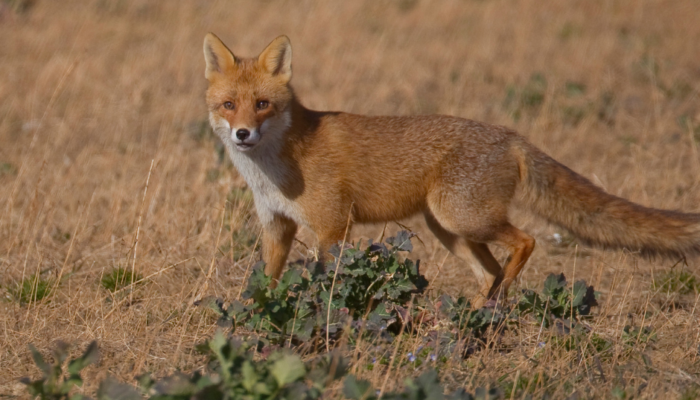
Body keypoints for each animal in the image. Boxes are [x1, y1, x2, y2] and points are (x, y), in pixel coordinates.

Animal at [203, 33, 700, 308]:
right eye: (228, 105)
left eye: (262, 104)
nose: (243, 134)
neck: (275, 171)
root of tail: (509, 134)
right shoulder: (277, 227)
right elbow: (265, 282)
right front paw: (254, 316)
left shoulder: (332, 227)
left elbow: (326, 281)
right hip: (449, 229)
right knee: (490, 272)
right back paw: (473, 314)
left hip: (463, 218)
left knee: (526, 242)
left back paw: (489, 305)